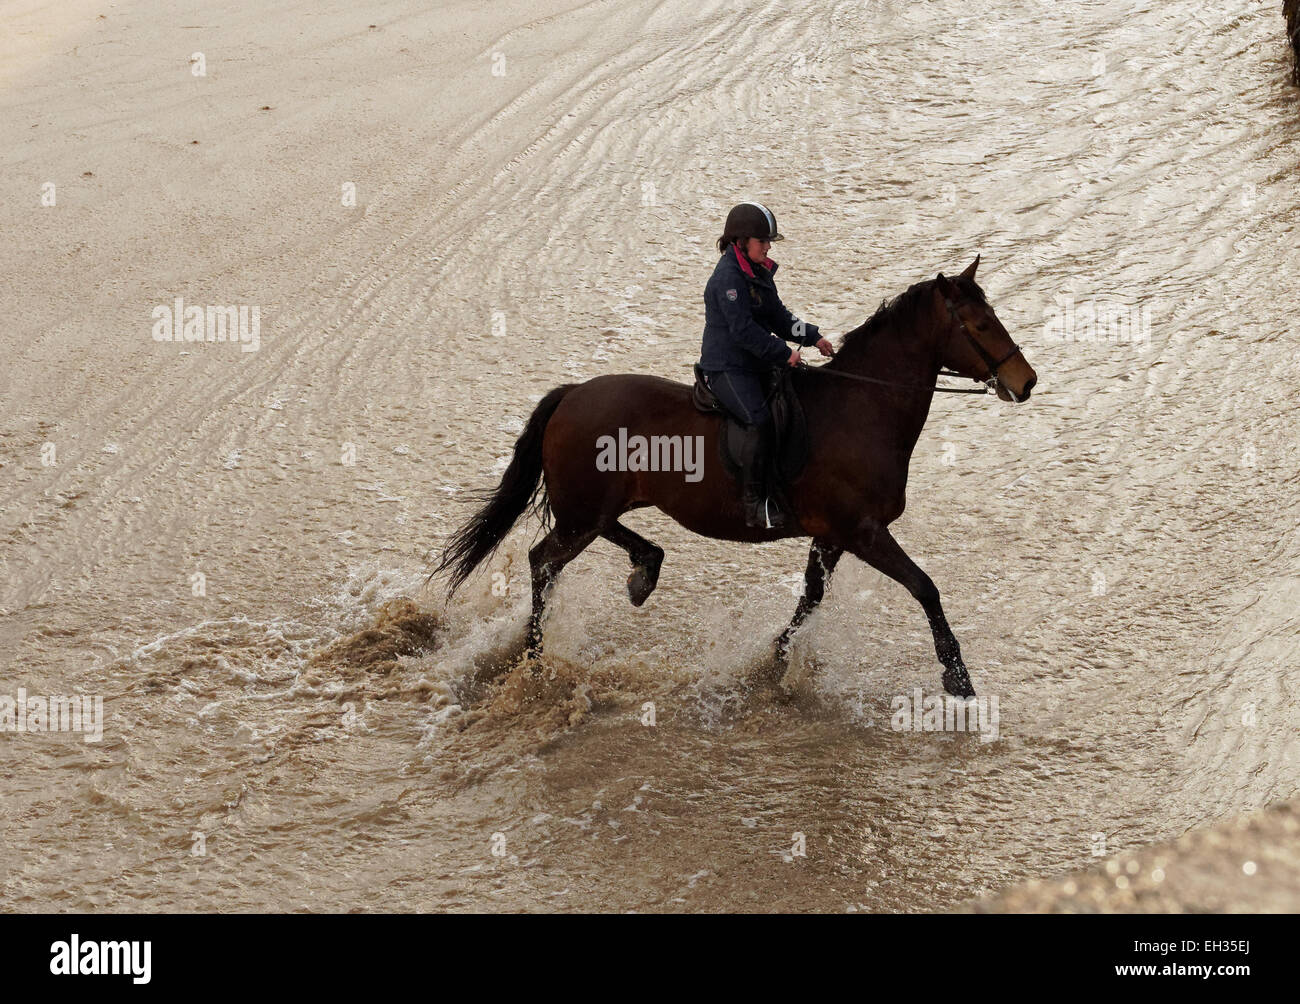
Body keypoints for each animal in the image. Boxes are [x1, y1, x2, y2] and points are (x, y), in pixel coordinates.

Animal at [434, 258, 1034, 697]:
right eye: (981, 325)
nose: (1026, 382)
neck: (862, 406)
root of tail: (571, 394)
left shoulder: (832, 536)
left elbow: (811, 598)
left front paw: (775, 660)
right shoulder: (863, 531)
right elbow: (924, 587)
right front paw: (957, 676)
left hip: (597, 508)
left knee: (584, 547)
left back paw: (643, 572)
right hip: (584, 512)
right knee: (544, 562)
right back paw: (536, 658)